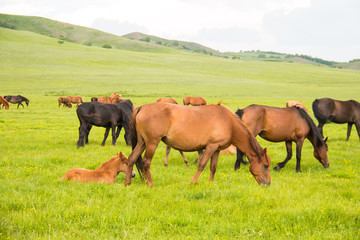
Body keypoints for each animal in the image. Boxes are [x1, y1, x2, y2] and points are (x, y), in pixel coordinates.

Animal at [123, 102, 270, 187]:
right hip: (152, 143)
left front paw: (210, 183)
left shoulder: (216, 149)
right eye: (266, 166)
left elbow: (213, 167)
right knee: (146, 162)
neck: (229, 123)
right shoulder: (211, 147)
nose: (267, 184)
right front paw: (193, 182)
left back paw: (127, 182)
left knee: (131, 159)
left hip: (142, 143)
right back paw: (150, 184)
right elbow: (202, 165)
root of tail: (142, 107)